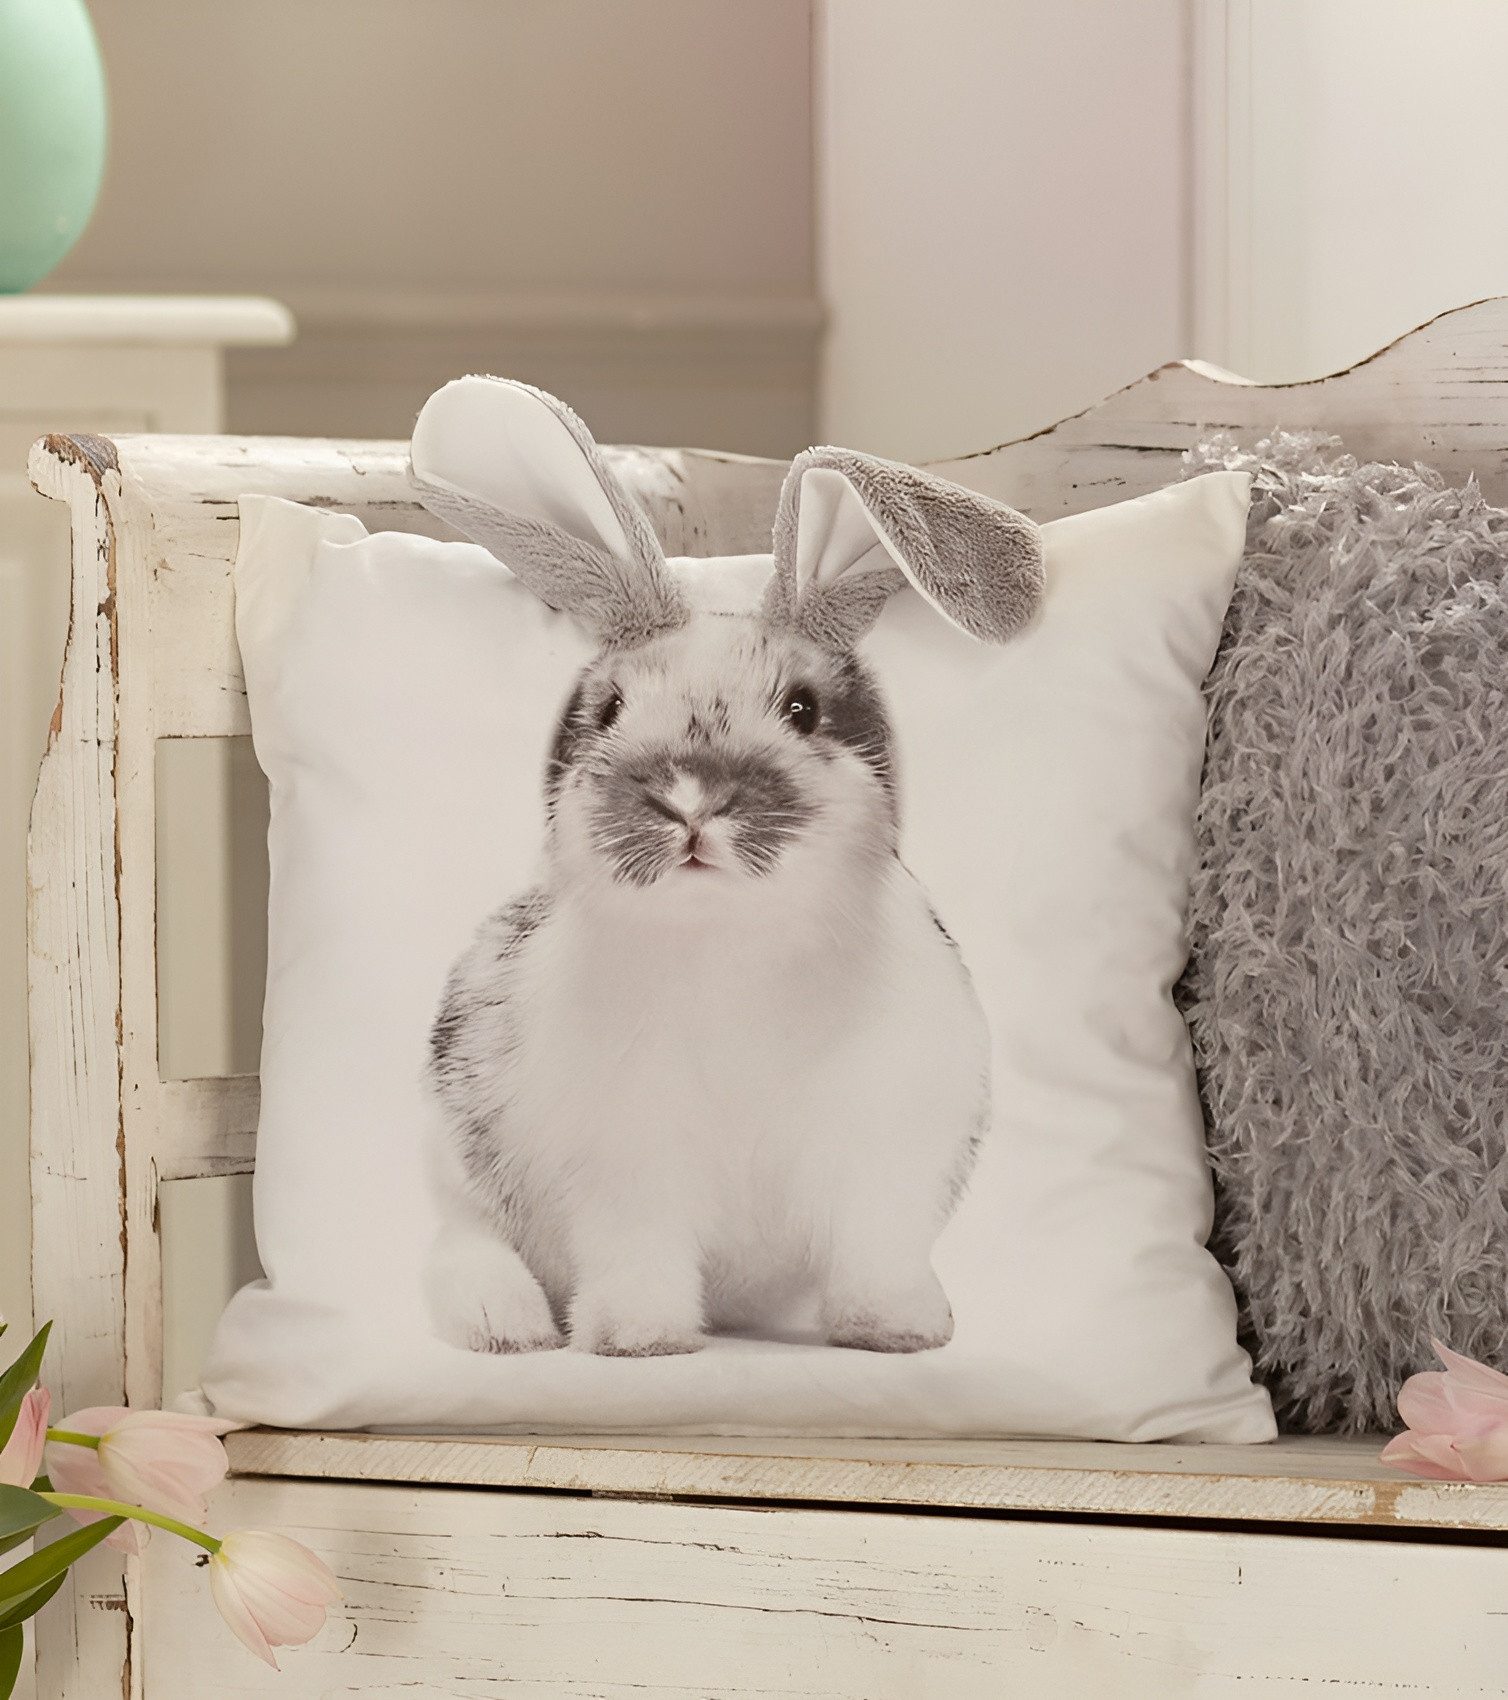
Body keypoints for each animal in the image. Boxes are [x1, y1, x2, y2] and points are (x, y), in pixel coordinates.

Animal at [409, 378, 1044, 1358]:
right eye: (610, 709)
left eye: (804, 708)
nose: (690, 797)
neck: (730, 944)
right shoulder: (625, 1171)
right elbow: (640, 1256)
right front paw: (639, 1339)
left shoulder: (884, 1160)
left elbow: (877, 1253)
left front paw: (897, 1331)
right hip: (459, 1173)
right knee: (462, 1247)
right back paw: (505, 1326)